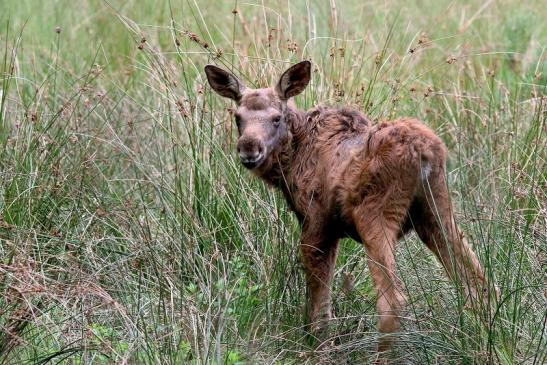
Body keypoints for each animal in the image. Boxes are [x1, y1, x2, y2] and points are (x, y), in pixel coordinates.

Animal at [204, 61, 492, 354]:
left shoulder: (316, 223)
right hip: (436, 211)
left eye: (276, 118)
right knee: (479, 282)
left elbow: (319, 302)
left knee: (393, 301)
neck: (291, 162)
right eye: (238, 117)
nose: (249, 149)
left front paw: (317, 347)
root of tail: (424, 152)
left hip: (375, 215)